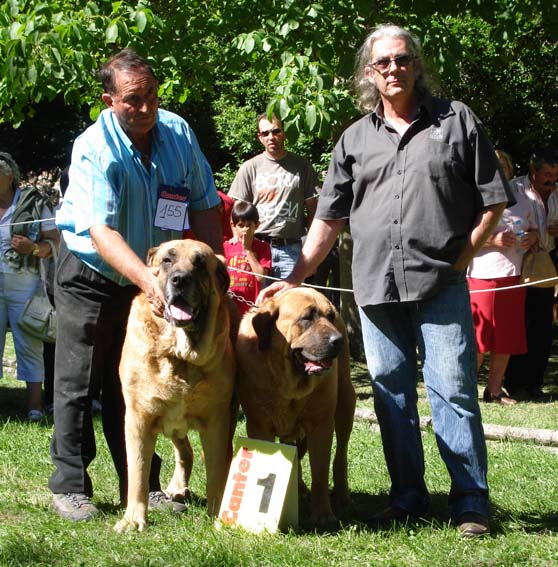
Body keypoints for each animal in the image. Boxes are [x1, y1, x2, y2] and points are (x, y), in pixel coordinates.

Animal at [114, 239, 236, 532]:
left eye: (200, 263)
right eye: (167, 260)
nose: (180, 279)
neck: (179, 354)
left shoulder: (217, 421)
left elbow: (217, 472)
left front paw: (217, 514)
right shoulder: (138, 418)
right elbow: (138, 472)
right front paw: (133, 520)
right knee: (184, 452)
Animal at [237, 286, 358, 532]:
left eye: (330, 316)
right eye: (306, 318)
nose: (338, 340)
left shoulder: (321, 425)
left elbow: (320, 471)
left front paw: (323, 515)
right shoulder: (260, 427)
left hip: (345, 404)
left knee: (340, 456)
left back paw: (341, 496)